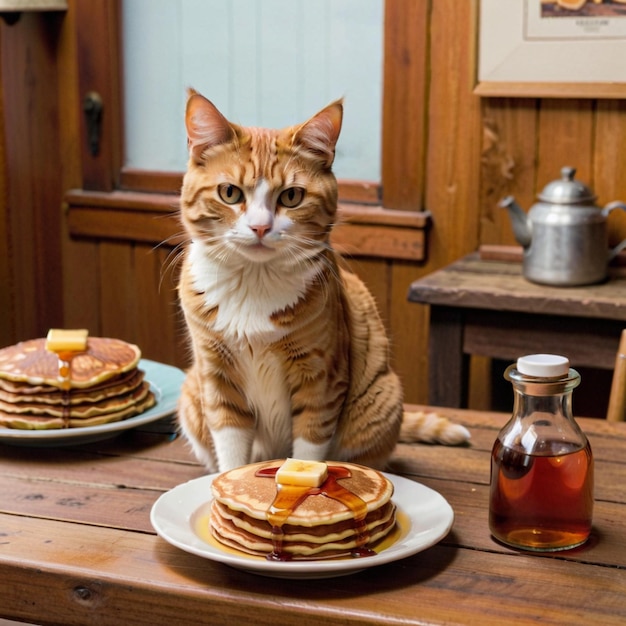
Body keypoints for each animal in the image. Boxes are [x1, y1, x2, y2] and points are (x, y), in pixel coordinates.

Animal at [176, 89, 468, 468]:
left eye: (291, 196)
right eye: (230, 193)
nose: (260, 227)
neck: (254, 282)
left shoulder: (320, 379)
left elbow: (311, 444)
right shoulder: (217, 377)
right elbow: (231, 451)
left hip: (380, 401)